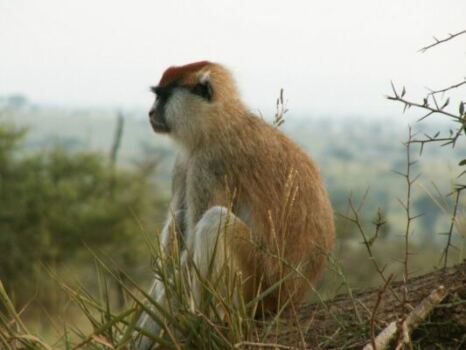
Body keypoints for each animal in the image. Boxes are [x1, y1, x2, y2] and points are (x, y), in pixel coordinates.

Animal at [135, 60, 334, 348]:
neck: (220, 121)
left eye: (163, 96)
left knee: (214, 221)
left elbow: (191, 254)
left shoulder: (209, 163)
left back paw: (208, 324)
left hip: (261, 285)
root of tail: (292, 299)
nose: (151, 112)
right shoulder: (186, 162)